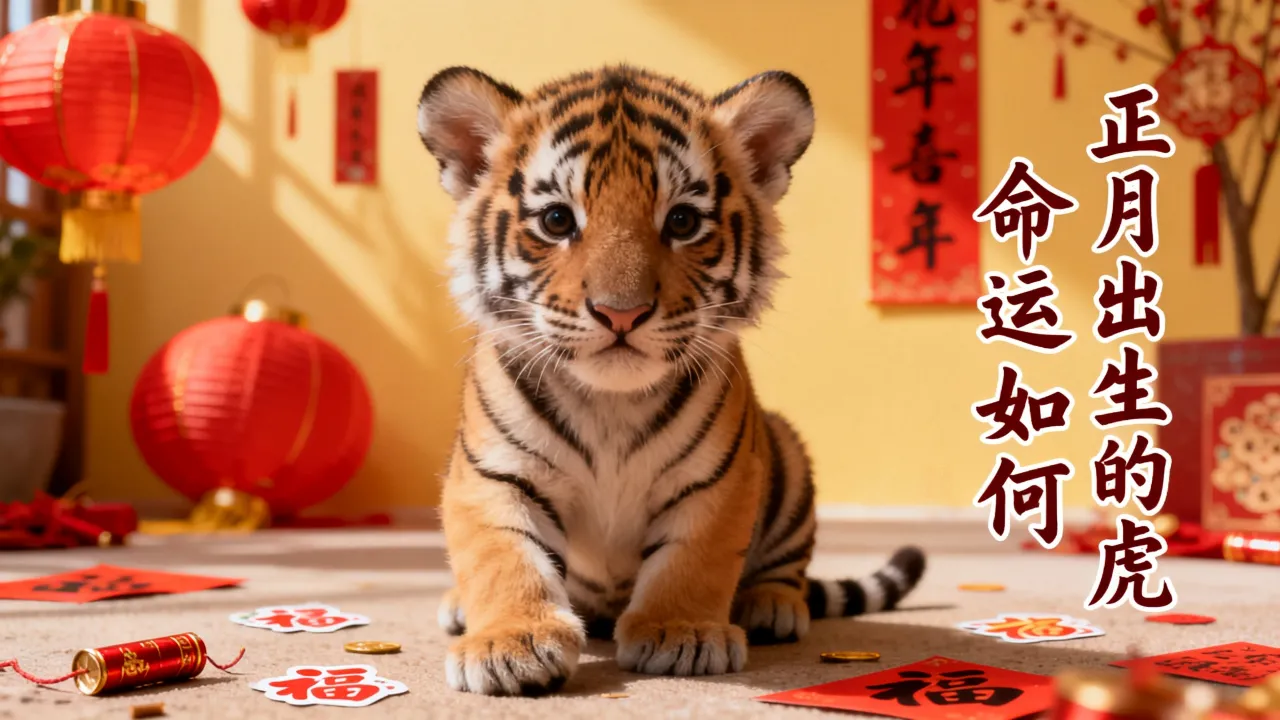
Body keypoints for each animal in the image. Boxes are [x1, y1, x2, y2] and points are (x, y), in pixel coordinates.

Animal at [418, 64, 927, 697]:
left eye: (682, 221)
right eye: (558, 219)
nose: (621, 313)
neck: (609, 404)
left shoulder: (718, 480)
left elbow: (692, 559)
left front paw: (679, 633)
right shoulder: (493, 474)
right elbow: (503, 559)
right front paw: (509, 643)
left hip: (786, 457)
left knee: (787, 566)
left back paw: (771, 606)